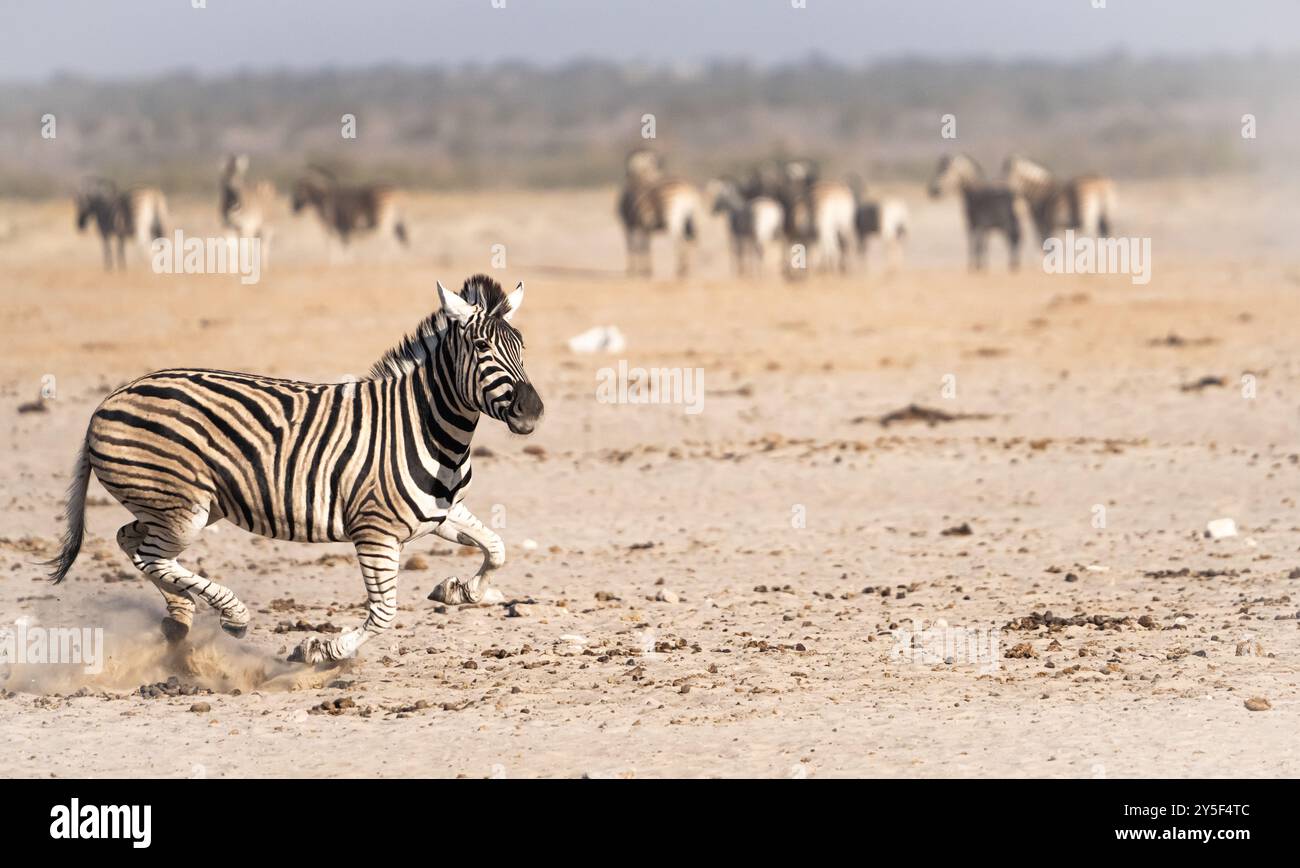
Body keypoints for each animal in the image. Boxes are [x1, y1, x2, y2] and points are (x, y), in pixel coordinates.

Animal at [44, 275, 543, 665]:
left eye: (521, 347)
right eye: (481, 346)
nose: (532, 411)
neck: (427, 429)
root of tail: (110, 399)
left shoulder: (440, 515)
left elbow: (497, 548)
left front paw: (458, 590)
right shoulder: (375, 532)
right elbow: (383, 615)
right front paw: (322, 651)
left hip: (174, 506)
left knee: (130, 540)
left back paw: (179, 617)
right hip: (182, 509)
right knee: (151, 553)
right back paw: (233, 615)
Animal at [617, 150, 701, 278]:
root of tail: (686, 191)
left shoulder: (633, 224)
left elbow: (637, 247)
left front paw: (639, 271)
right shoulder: (643, 225)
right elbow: (643, 246)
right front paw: (644, 271)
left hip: (673, 217)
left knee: (679, 239)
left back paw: (680, 271)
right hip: (691, 221)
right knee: (693, 240)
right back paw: (692, 271)